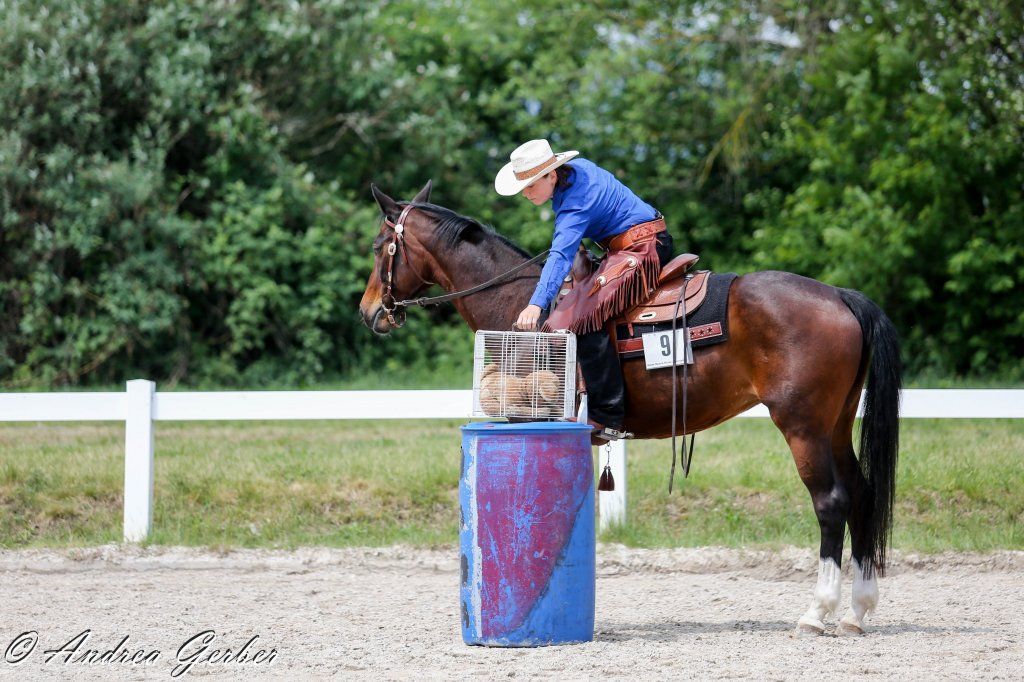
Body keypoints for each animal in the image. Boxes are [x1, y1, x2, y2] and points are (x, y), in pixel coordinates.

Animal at [358, 181, 902, 636]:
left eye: (380, 246)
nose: (370, 312)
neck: (519, 304)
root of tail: (839, 295)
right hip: (835, 424)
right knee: (861, 495)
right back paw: (858, 611)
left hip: (802, 425)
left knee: (831, 502)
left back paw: (817, 612)